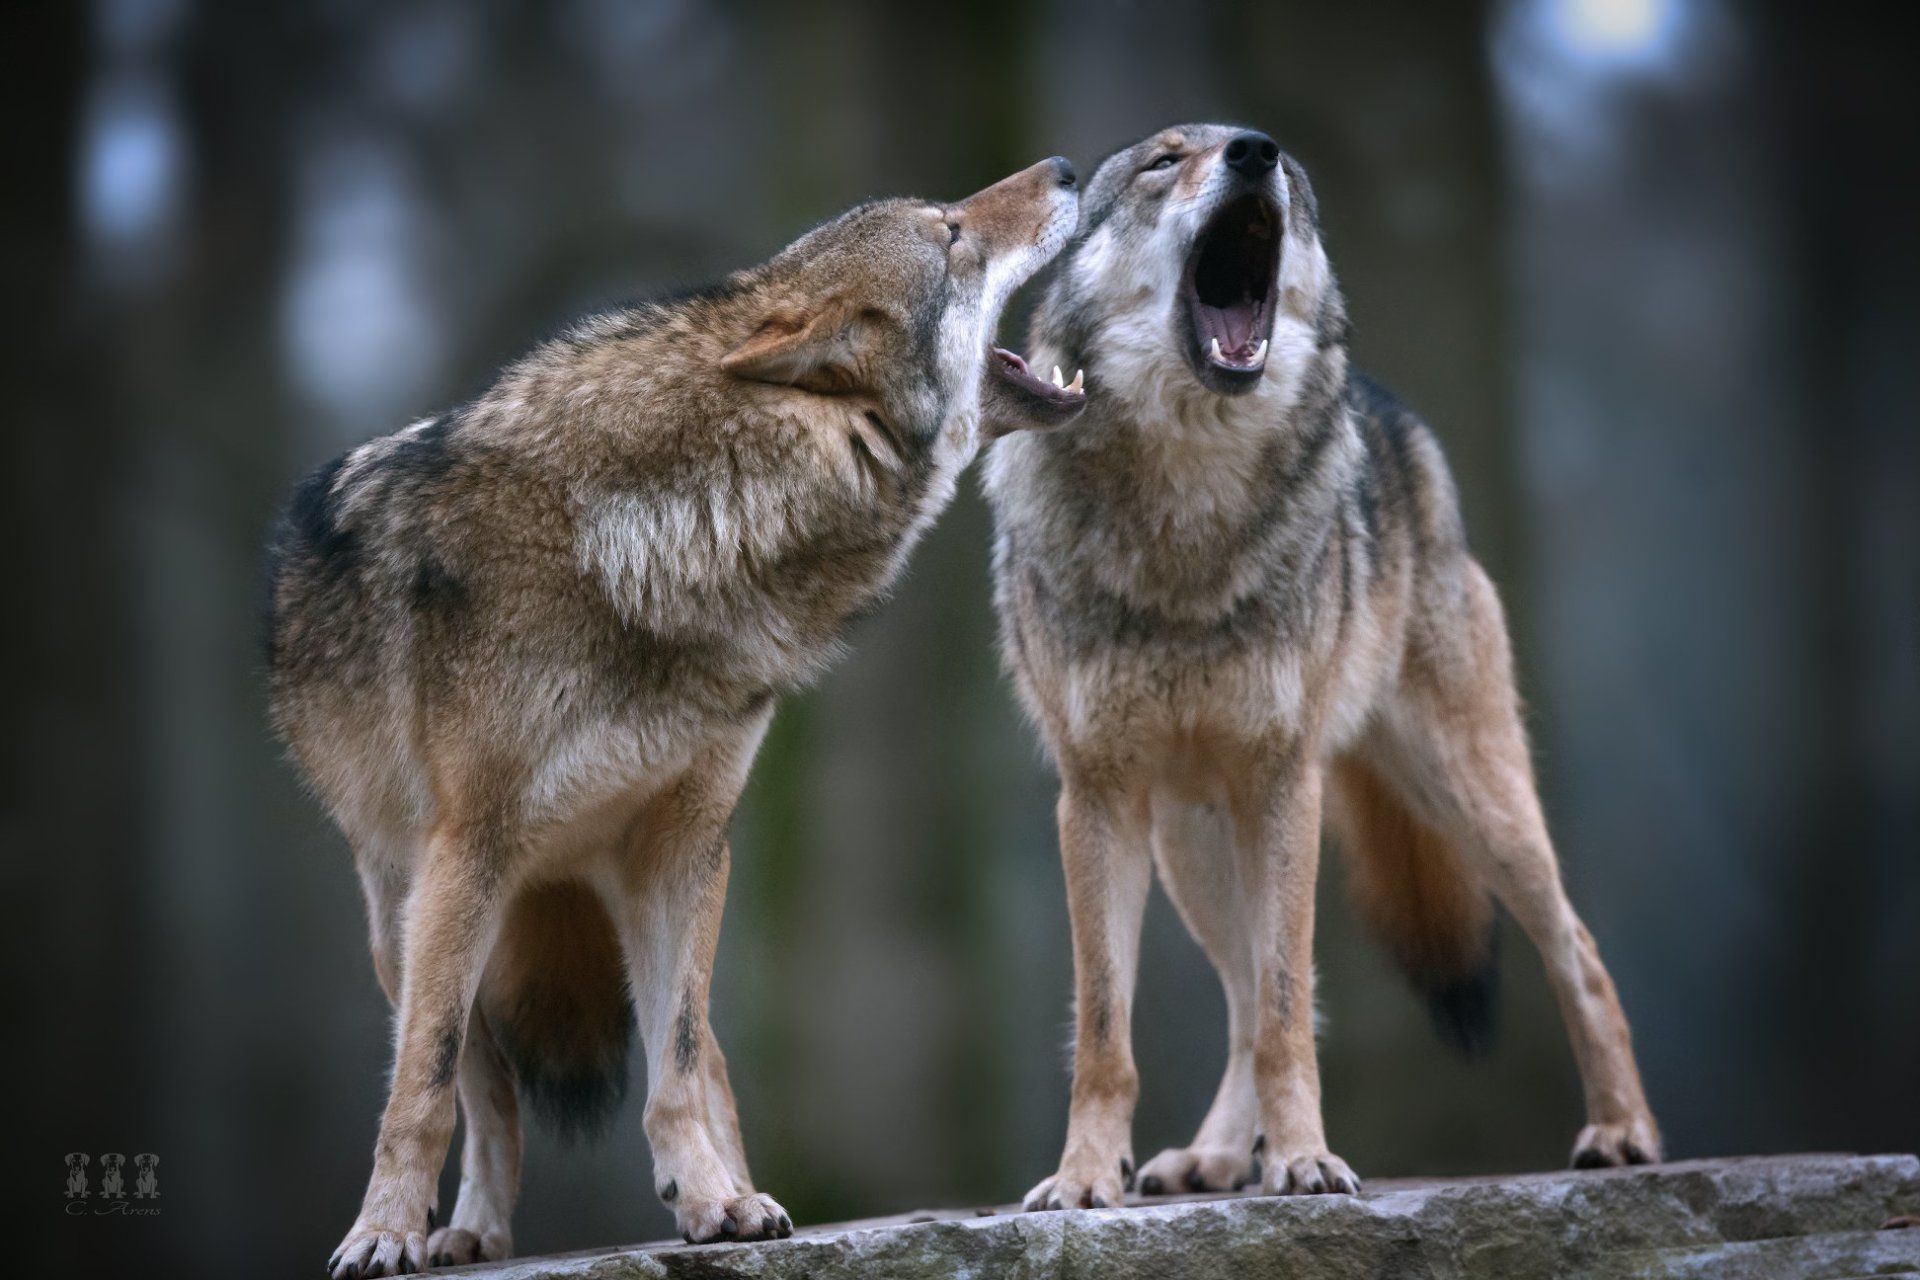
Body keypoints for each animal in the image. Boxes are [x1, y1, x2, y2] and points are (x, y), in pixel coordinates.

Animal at [269, 157, 1082, 1277]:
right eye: (951, 234)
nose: (1069, 170)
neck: (649, 536)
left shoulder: (689, 841)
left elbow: (683, 1064)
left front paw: (711, 1202)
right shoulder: (468, 846)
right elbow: (424, 1087)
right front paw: (383, 1231)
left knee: (704, 1062)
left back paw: (741, 1193)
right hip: (406, 915)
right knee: (480, 1086)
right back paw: (465, 1231)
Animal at [984, 124, 1660, 1211]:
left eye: (1288, 180)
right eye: (1165, 160)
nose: (1256, 154)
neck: (1187, 518)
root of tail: (1388, 408)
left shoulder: (1284, 782)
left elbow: (1288, 1010)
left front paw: (1304, 1159)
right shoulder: (1094, 799)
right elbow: (1106, 1028)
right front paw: (1087, 1175)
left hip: (1470, 798)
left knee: (1578, 951)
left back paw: (1624, 1131)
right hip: (1192, 843)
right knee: (1236, 995)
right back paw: (1214, 1157)